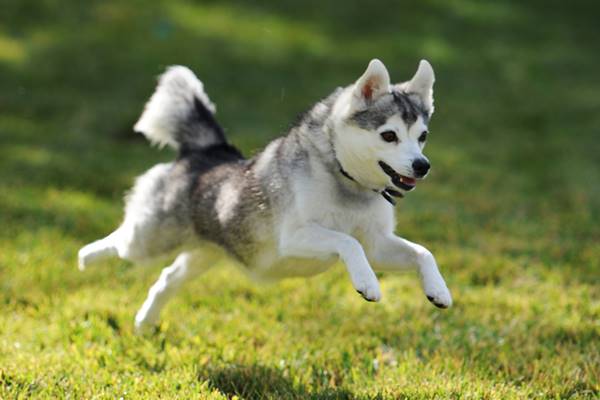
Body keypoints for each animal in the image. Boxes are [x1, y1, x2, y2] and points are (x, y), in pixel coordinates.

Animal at [81, 57, 454, 332]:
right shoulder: (295, 236)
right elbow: (348, 242)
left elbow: (423, 253)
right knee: (121, 241)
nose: (422, 166)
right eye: (389, 135)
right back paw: (86, 258)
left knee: (167, 278)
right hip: (150, 240)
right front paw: (368, 283)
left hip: (205, 253)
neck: (347, 180)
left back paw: (145, 322)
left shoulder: (377, 244)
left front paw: (438, 290)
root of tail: (210, 151)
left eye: (422, 136)